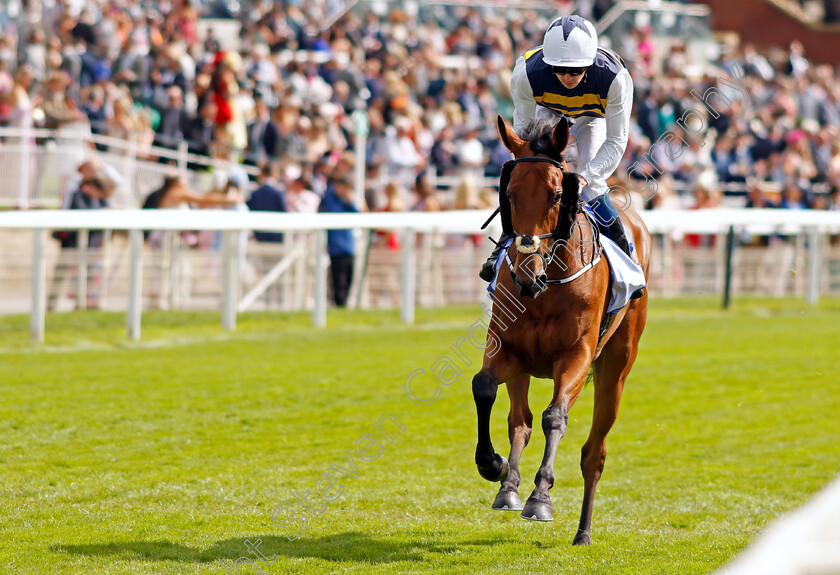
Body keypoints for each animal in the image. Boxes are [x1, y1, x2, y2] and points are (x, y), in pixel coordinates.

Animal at [472, 115, 648, 548]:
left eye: (556, 195)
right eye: (510, 194)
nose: (526, 274)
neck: (546, 288)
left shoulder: (577, 356)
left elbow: (555, 417)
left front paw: (541, 497)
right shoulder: (506, 348)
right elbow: (483, 387)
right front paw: (494, 465)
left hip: (615, 370)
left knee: (593, 454)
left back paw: (583, 532)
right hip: (523, 369)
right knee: (519, 420)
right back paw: (508, 488)